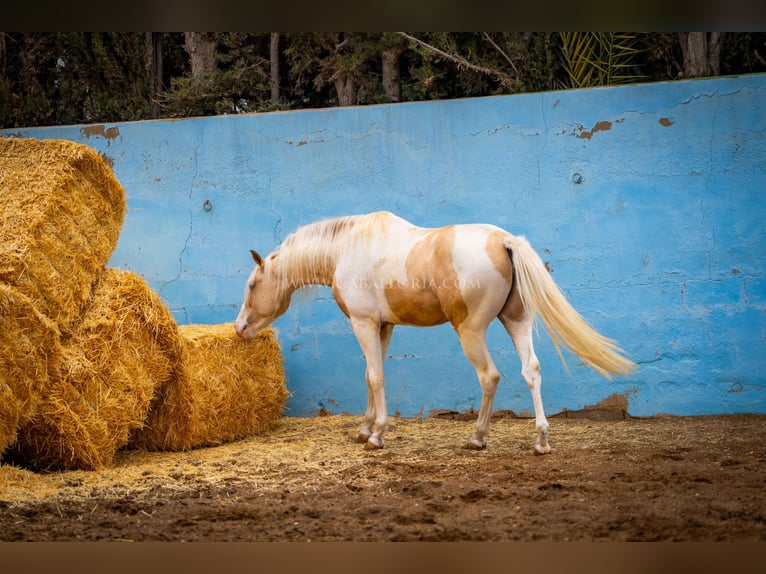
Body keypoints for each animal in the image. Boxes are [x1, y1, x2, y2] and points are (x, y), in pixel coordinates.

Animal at [236, 210, 640, 454]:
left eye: (253, 285)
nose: (240, 328)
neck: (347, 249)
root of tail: (503, 241)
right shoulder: (384, 327)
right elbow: (370, 376)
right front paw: (365, 429)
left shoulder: (364, 323)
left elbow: (376, 377)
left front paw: (377, 435)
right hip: (516, 322)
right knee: (532, 371)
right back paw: (540, 440)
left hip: (471, 332)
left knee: (490, 376)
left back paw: (477, 437)